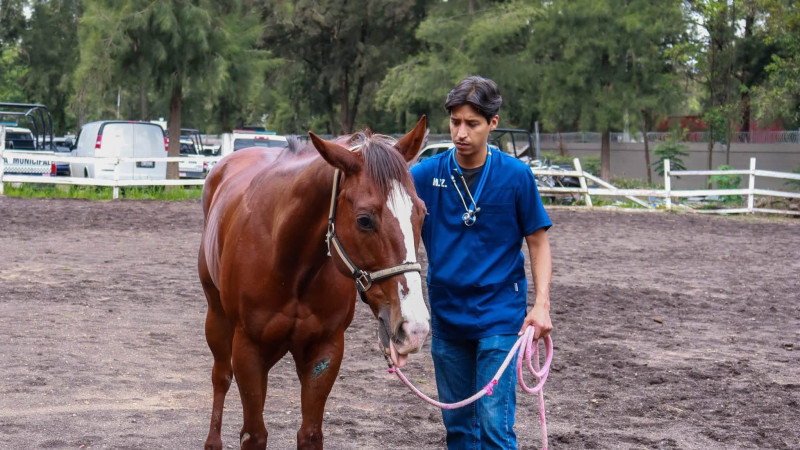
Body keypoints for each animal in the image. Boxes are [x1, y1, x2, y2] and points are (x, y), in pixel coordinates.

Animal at [198, 116, 431, 450]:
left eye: (422, 213)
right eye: (364, 220)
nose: (414, 328)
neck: (290, 262)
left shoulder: (325, 349)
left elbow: (310, 434)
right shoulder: (247, 348)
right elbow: (253, 435)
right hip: (216, 317)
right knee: (221, 376)